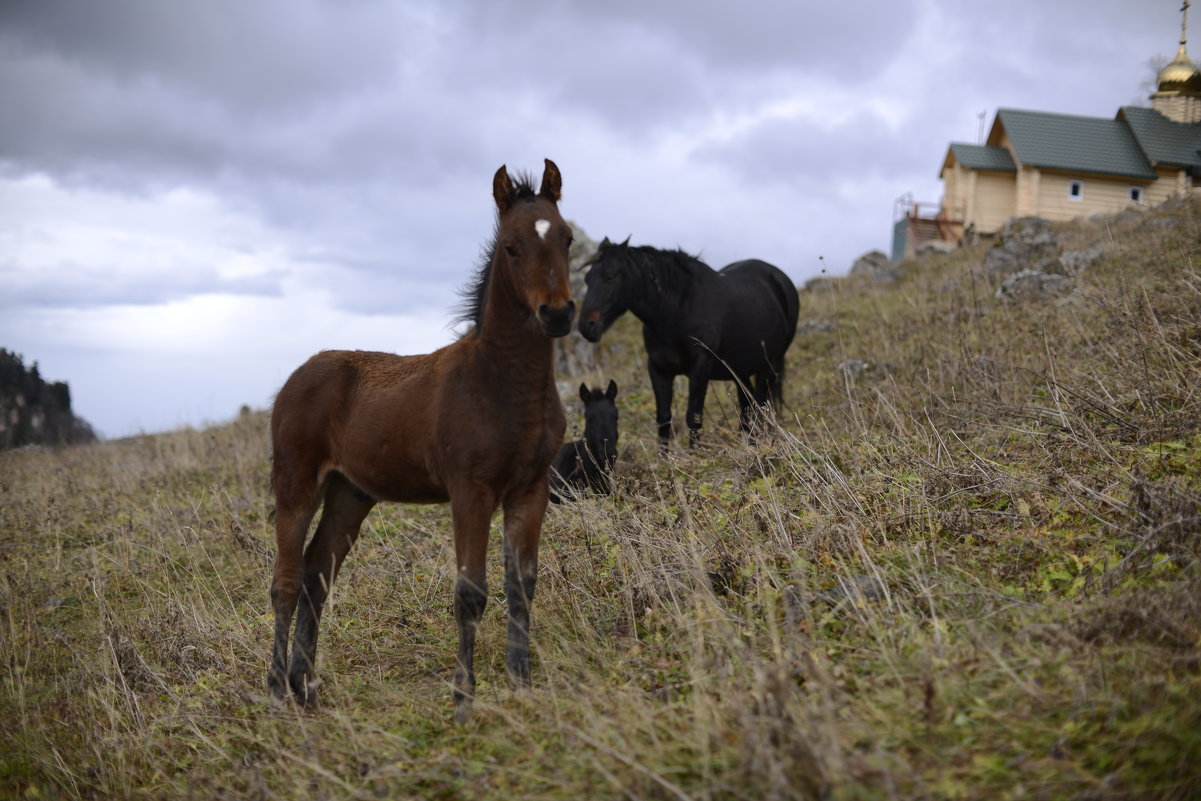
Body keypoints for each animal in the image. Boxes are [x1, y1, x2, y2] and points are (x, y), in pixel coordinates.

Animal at [269, 159, 576, 725]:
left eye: (565, 237)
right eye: (511, 246)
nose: (558, 314)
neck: (502, 382)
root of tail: (297, 376)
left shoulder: (531, 488)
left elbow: (521, 586)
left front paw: (521, 689)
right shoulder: (470, 490)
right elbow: (471, 593)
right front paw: (463, 704)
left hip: (349, 492)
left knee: (317, 574)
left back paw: (307, 689)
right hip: (296, 483)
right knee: (286, 581)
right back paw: (278, 692)